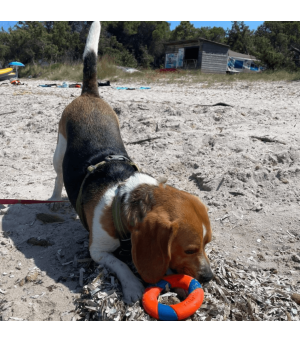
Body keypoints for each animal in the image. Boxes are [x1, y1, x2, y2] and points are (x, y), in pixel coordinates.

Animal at [49, 21, 213, 306]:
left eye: (208, 244)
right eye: (190, 249)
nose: (210, 278)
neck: (124, 199)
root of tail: (89, 93)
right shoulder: (97, 251)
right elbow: (122, 264)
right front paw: (134, 285)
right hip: (59, 149)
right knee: (58, 173)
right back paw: (55, 197)